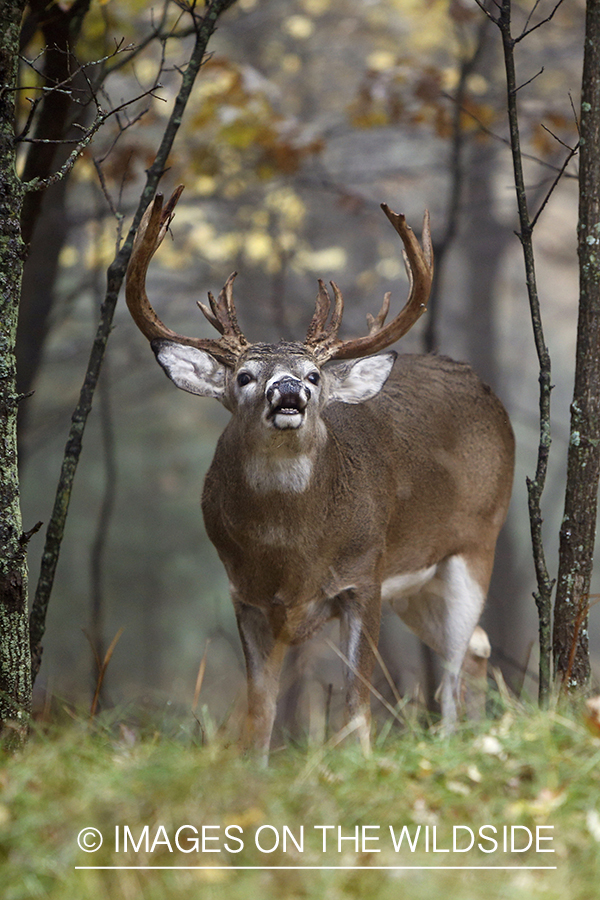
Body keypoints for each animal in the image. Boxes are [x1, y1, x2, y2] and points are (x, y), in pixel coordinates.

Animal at [125, 188, 516, 760]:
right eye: (245, 376)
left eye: (312, 374)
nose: (288, 390)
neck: (292, 552)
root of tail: (487, 391)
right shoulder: (244, 593)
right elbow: (260, 710)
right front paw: (255, 769)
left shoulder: (364, 576)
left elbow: (356, 704)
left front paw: (359, 763)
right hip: (417, 584)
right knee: (477, 648)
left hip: (475, 542)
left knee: (452, 665)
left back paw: (452, 745)